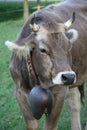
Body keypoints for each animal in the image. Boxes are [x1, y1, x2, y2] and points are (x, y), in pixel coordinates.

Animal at [5, 0, 86, 130]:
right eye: (42, 50)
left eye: (69, 46)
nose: (68, 77)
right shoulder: (19, 92)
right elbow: (31, 125)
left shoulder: (59, 92)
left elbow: (50, 126)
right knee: (74, 100)